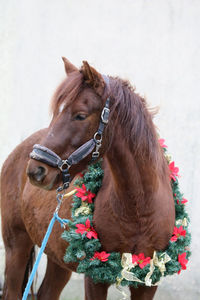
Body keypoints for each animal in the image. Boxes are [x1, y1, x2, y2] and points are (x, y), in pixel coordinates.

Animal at [0, 57, 175, 298]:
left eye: (80, 115)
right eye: (56, 113)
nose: (36, 171)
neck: (139, 208)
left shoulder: (149, 281)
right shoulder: (95, 276)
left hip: (58, 259)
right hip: (16, 245)